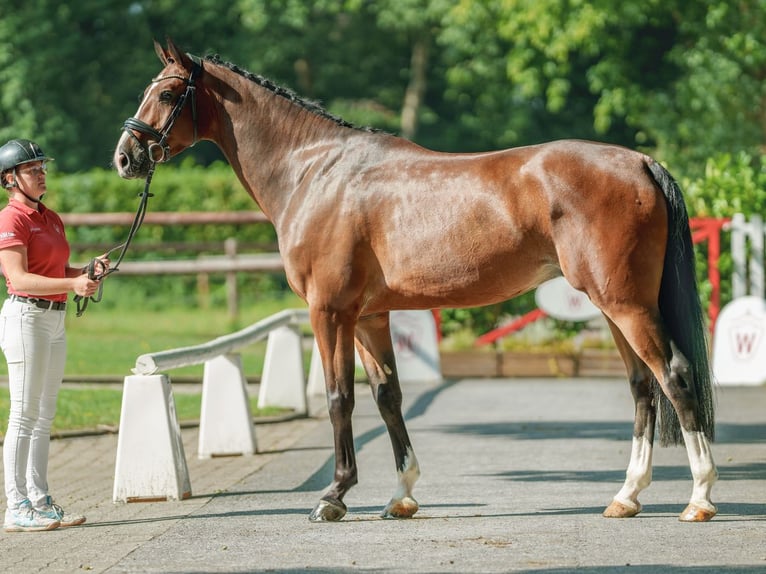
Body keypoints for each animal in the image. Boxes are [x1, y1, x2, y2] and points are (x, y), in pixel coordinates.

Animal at [114, 40, 720, 524]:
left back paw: (699, 498)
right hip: (617, 305)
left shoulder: (329, 311)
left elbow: (339, 398)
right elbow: (387, 396)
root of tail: (640, 162)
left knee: (673, 375)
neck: (316, 172)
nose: (125, 157)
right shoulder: (368, 316)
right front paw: (401, 496)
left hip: (626, 304)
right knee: (642, 387)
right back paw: (626, 496)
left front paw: (333, 496)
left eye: (167, 94)